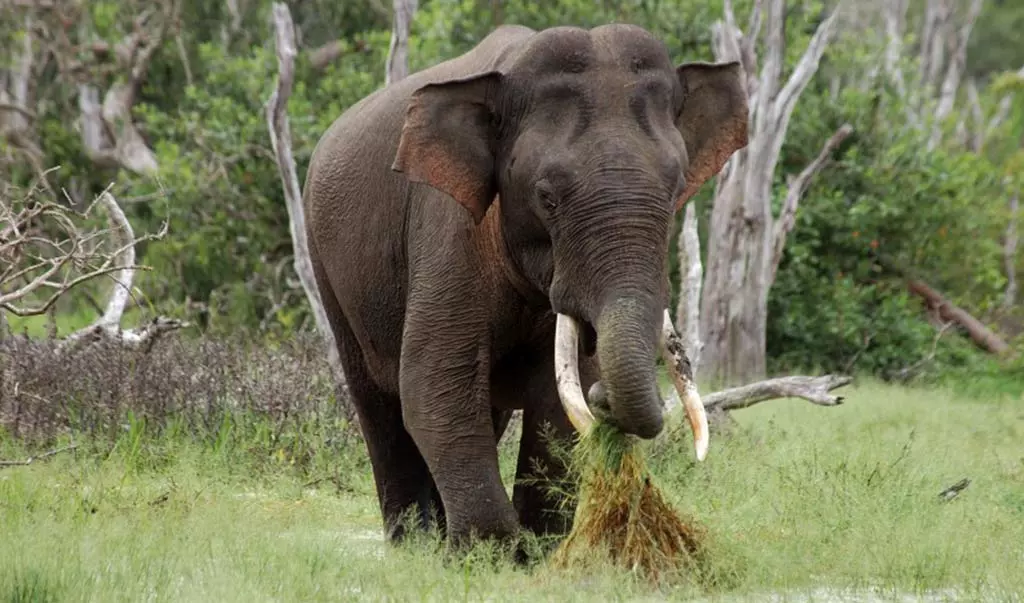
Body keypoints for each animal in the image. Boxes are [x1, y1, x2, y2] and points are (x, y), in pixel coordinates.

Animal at [299, 22, 749, 548]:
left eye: (677, 189)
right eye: (546, 197)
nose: (607, 401)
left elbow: (556, 406)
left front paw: (535, 551)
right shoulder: (448, 231)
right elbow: (435, 385)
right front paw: (489, 552)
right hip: (327, 267)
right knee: (379, 407)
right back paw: (415, 545)